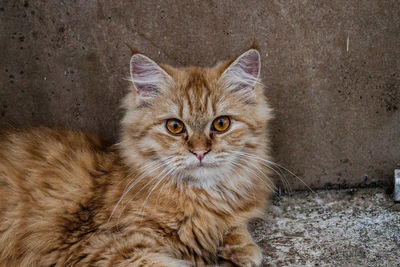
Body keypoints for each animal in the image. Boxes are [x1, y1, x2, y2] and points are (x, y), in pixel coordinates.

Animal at [0, 48, 274, 267]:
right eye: (175, 126)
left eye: (221, 124)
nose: (199, 152)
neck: (198, 197)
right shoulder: (97, 246)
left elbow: (236, 228)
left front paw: (241, 247)